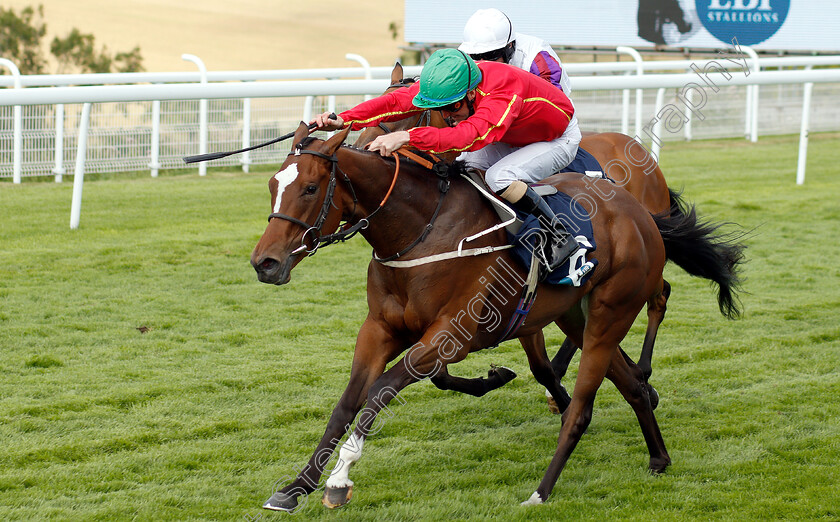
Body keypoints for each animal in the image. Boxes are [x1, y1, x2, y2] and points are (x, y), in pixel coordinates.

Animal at [249, 121, 740, 508]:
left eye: (310, 188)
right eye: (273, 185)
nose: (265, 263)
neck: (420, 231)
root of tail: (639, 213)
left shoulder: (452, 334)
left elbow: (381, 390)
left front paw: (339, 479)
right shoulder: (380, 330)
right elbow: (346, 403)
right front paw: (295, 488)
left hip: (610, 314)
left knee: (597, 391)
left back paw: (542, 490)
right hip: (576, 316)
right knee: (630, 385)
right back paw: (658, 456)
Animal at [350, 63, 684, 408]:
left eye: (409, 118)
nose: (363, 151)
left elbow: (539, 366)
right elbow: (440, 373)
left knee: (659, 295)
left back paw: (641, 370)